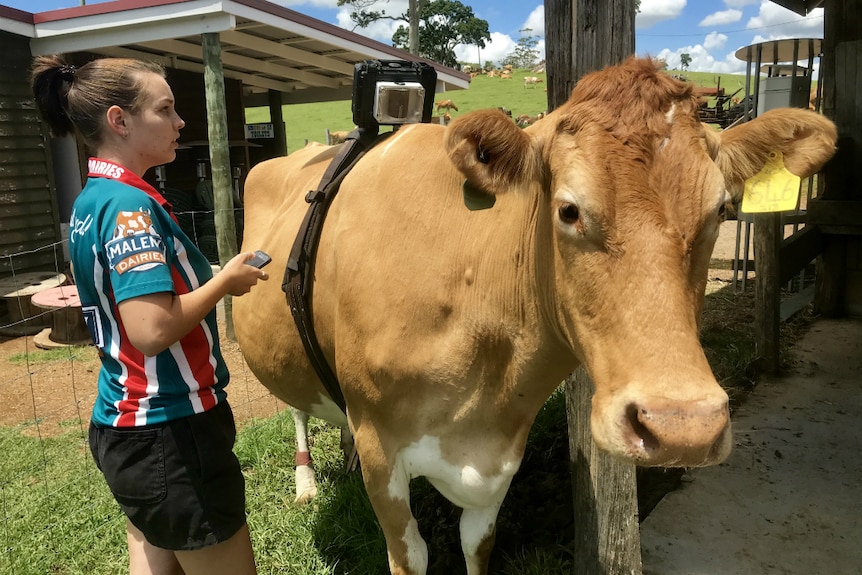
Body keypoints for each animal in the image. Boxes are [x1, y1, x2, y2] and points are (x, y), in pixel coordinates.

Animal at [231, 57, 836, 575]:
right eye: (568, 210)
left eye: (722, 210)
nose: (684, 428)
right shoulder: (384, 451)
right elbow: (412, 555)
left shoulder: (500, 458)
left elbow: (477, 544)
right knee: (297, 408)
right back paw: (307, 481)